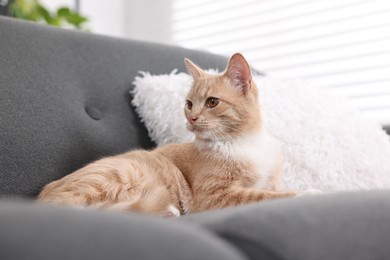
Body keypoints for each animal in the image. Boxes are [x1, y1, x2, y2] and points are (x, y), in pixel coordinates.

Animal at [38, 53, 314, 217]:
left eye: (212, 102)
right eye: (189, 104)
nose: (191, 118)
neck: (243, 142)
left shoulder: (270, 180)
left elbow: (271, 190)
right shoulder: (212, 197)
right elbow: (262, 196)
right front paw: (305, 193)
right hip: (125, 173)